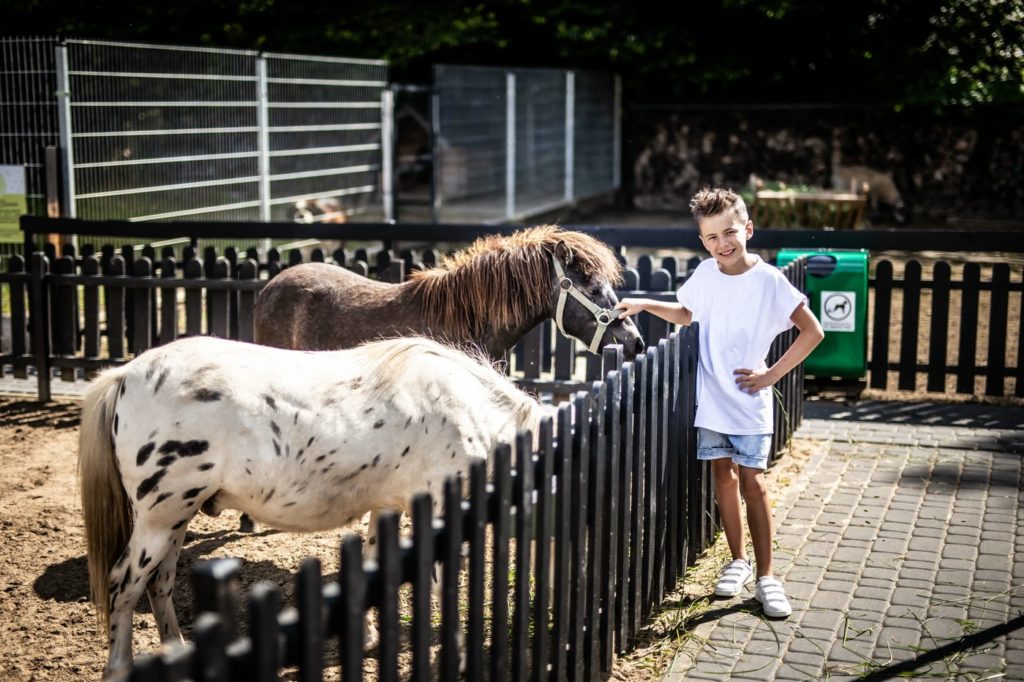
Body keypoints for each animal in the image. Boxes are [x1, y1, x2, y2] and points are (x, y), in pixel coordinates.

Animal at [79, 335, 553, 680]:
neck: (471, 411)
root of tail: (125, 374)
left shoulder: (387, 508)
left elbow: (374, 569)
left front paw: (367, 634)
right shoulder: (439, 508)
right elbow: (443, 588)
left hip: (175, 518)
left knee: (158, 583)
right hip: (159, 520)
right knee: (124, 585)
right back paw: (117, 668)